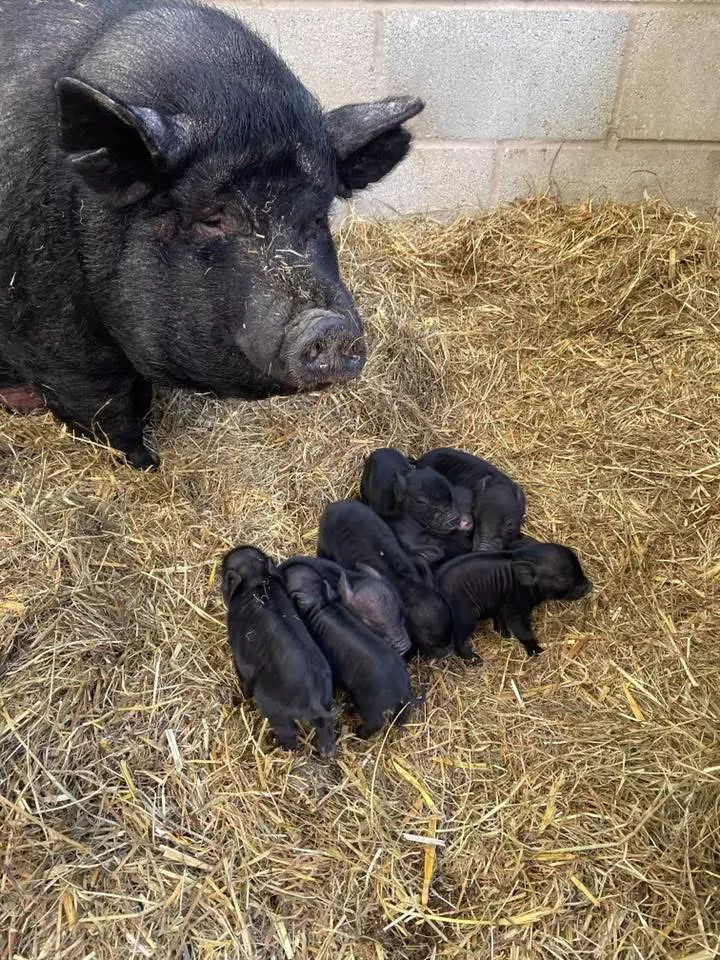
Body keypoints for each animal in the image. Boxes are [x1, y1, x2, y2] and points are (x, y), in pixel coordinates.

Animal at [0, 0, 423, 468]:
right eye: (213, 219)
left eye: (317, 217)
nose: (329, 326)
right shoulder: (56, 342)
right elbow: (110, 412)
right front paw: (147, 467)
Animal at [222, 545, 335, 756]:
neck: (256, 581)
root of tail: (314, 698)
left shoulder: (241, 660)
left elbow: (244, 680)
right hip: (326, 701)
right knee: (325, 728)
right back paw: (326, 753)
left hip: (275, 709)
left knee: (289, 734)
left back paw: (278, 746)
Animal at [435, 541, 592, 660]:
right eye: (564, 579)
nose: (589, 586)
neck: (523, 585)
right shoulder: (515, 609)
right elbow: (523, 631)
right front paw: (537, 652)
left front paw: (505, 635)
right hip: (466, 616)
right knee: (458, 640)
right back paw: (476, 660)